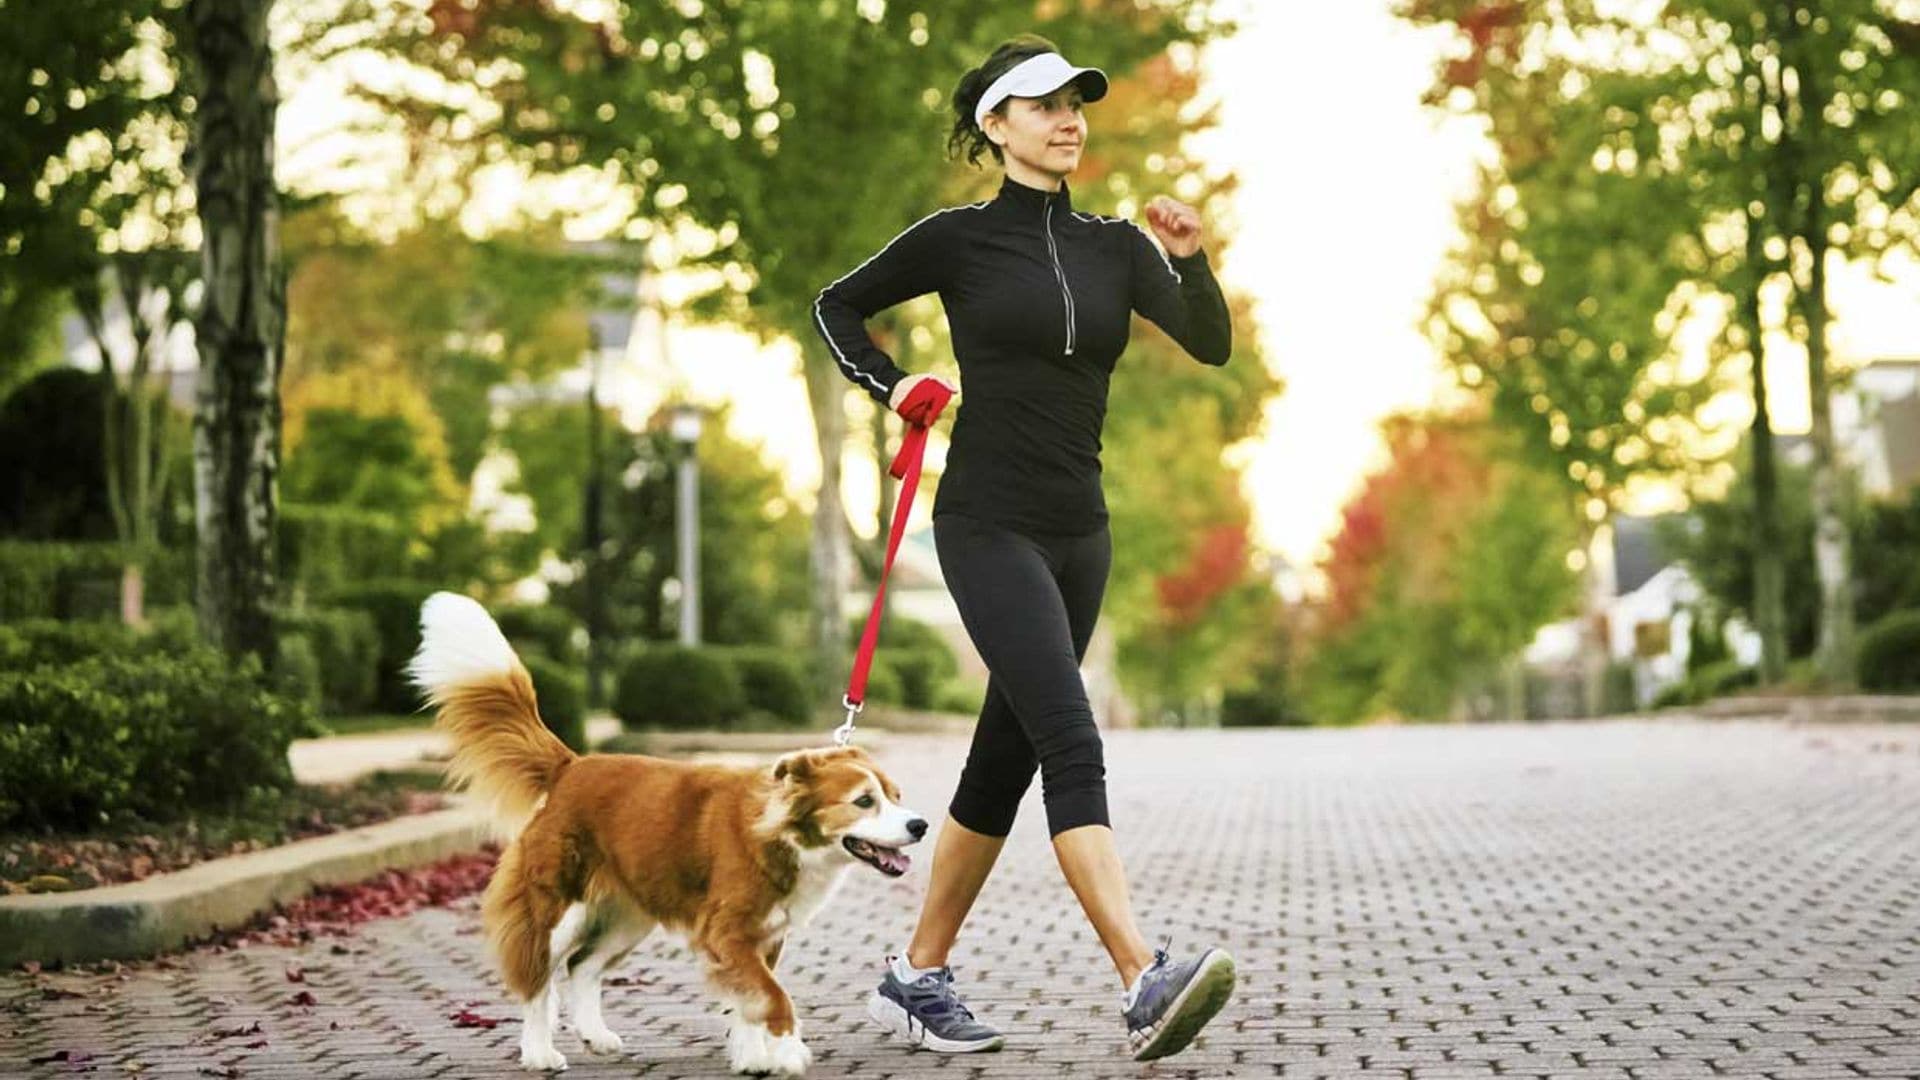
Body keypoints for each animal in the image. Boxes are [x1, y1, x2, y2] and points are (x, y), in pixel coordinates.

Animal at [408, 591, 933, 1068]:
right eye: (863, 801)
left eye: (896, 795)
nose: (921, 825)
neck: (783, 836)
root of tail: (571, 766)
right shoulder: (727, 932)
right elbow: (772, 997)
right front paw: (786, 1052)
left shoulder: (764, 938)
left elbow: (749, 1001)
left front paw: (753, 1057)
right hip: (556, 906)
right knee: (540, 977)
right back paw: (539, 1053)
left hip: (628, 912)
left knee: (583, 966)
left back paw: (596, 1036)